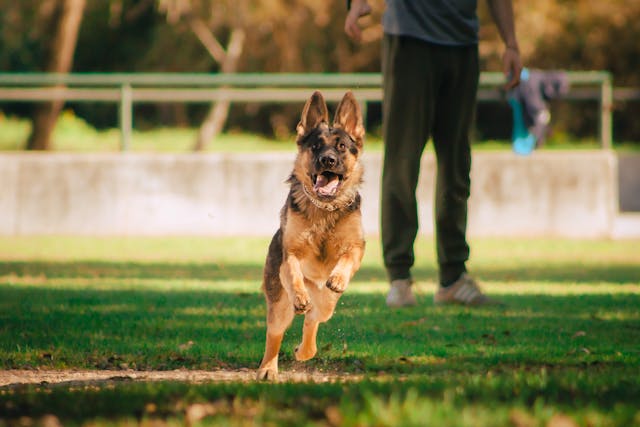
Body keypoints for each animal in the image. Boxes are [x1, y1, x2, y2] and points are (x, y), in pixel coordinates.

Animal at [255, 91, 364, 382]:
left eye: (341, 146)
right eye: (316, 146)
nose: (328, 160)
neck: (324, 208)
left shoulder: (356, 247)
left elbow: (347, 257)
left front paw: (337, 277)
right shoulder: (290, 254)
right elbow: (293, 270)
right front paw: (300, 294)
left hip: (327, 303)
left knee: (315, 316)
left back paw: (304, 350)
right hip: (279, 303)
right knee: (276, 333)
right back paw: (268, 368)